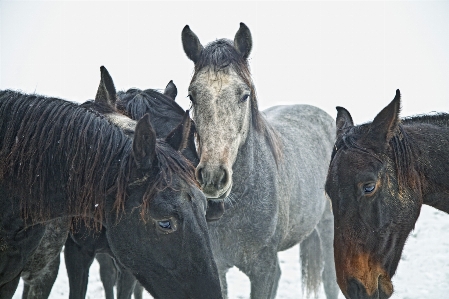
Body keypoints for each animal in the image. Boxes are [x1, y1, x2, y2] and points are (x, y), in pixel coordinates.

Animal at [180, 22, 338, 298]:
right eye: (192, 96)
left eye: (244, 95)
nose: (212, 177)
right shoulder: (218, 267)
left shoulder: (264, 270)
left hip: (328, 226)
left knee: (330, 281)